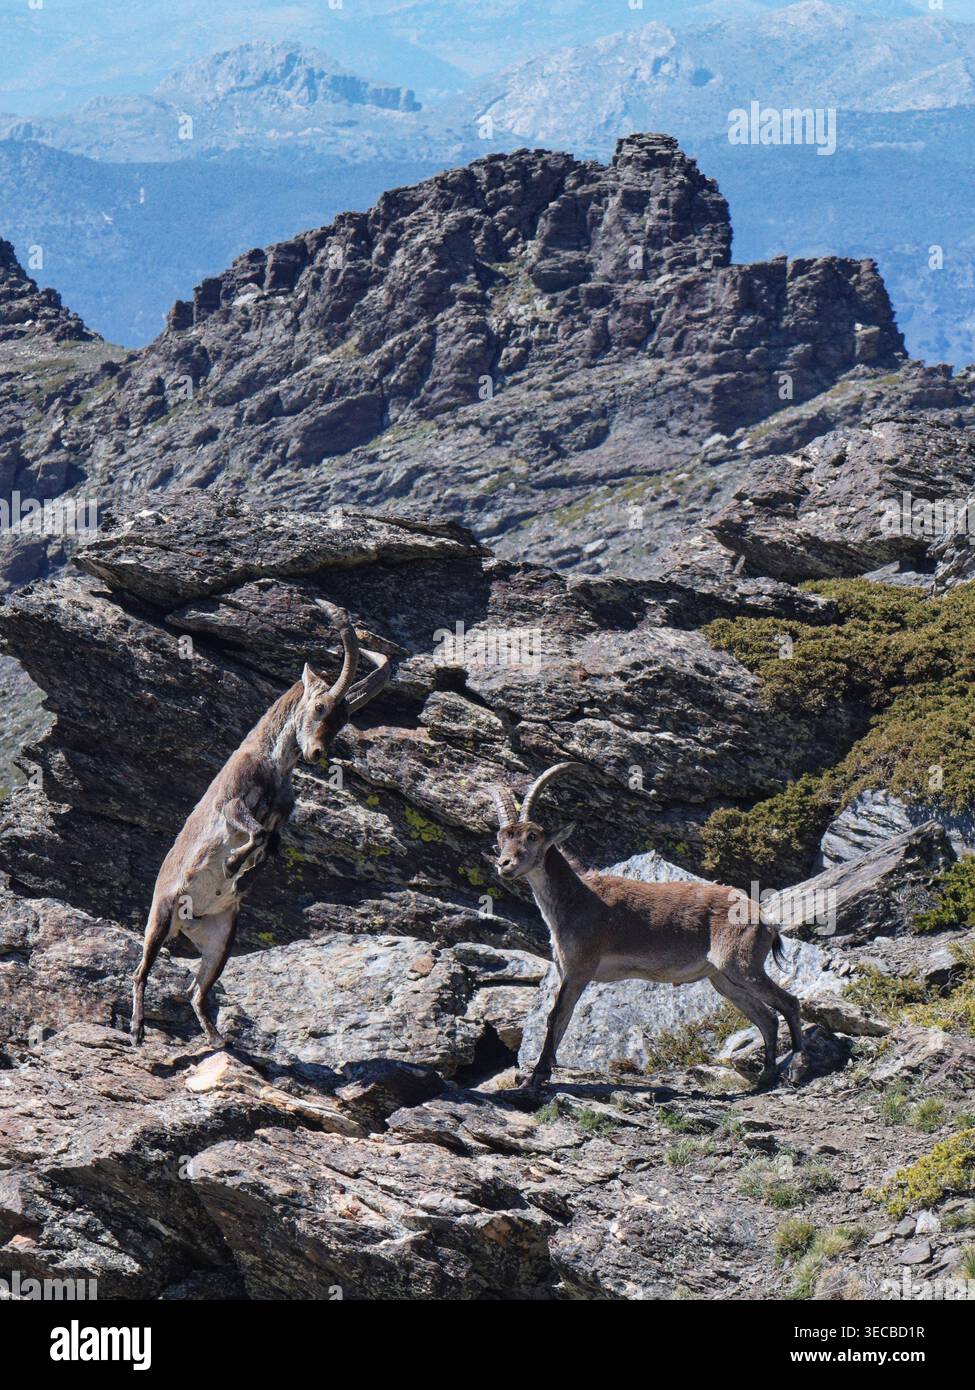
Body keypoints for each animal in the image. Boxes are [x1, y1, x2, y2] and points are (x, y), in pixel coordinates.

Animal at [131, 620, 391, 1046]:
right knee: (142, 970)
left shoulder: (278, 820)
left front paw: (242, 877)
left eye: (343, 720)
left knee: (196, 989)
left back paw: (217, 1039)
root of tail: (187, 922)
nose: (317, 753)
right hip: (163, 912)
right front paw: (233, 865)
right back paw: (137, 1030)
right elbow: (255, 836)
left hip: (221, 938)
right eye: (320, 707)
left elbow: (271, 844)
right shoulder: (233, 805)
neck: (272, 763)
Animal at [488, 763, 804, 1092]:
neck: (575, 899)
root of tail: (764, 919)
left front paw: (536, 1076)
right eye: (501, 837)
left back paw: (795, 1067)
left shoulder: (580, 968)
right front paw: (544, 1072)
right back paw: (766, 1077)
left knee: (789, 1003)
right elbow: (562, 1018)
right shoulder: (567, 970)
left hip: (742, 965)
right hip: (724, 979)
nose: (504, 864)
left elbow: (555, 1015)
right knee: (767, 1018)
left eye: (533, 835)